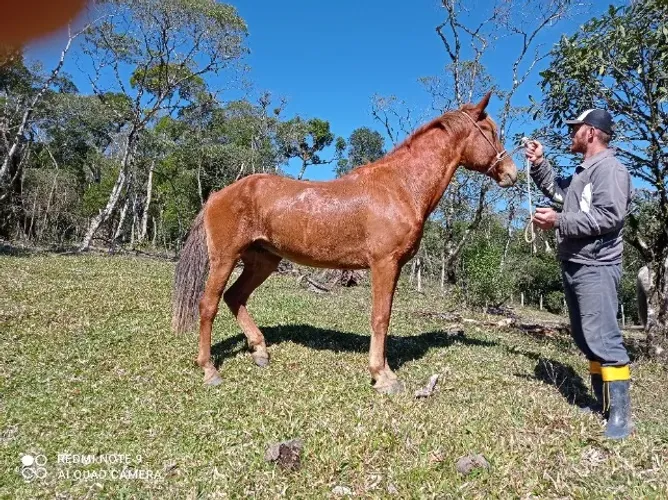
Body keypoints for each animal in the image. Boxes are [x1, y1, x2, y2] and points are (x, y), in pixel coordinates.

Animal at [171, 92, 518, 393]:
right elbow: (380, 317)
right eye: (490, 131)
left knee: (235, 297)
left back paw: (260, 351)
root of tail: (217, 195)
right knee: (209, 305)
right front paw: (383, 376)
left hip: (263, 260)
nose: (512, 173)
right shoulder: (384, 264)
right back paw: (209, 369)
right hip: (225, 258)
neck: (400, 186)